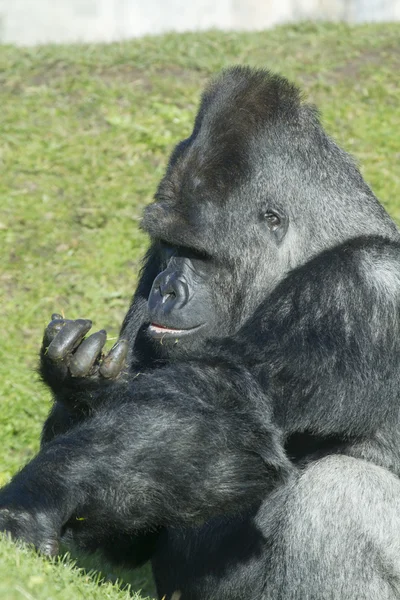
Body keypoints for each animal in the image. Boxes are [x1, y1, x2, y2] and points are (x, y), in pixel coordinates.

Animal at [1, 68, 400, 596]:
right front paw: (79, 385)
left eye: (199, 253)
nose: (166, 289)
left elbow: (228, 405)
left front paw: (31, 501)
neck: (319, 247)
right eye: (169, 247)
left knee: (335, 492)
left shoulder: (361, 287)